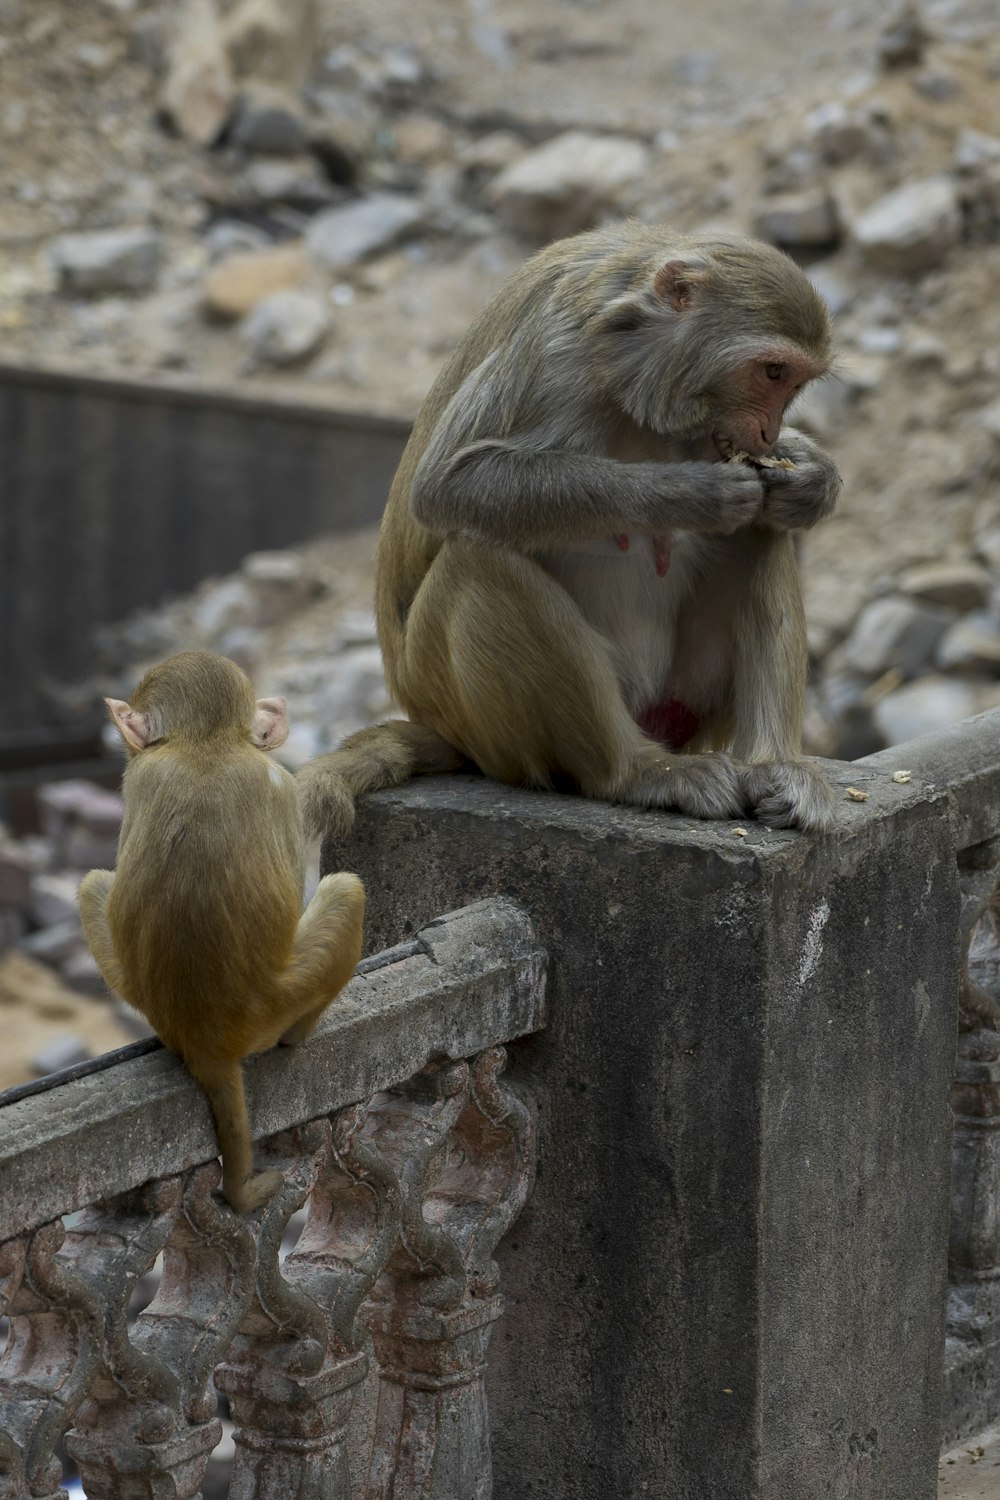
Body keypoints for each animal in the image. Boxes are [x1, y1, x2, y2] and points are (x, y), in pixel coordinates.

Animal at [79, 651, 364, 1212]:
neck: (204, 745)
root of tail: (206, 1040)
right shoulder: (280, 781)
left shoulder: (140, 777)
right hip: (280, 1006)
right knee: (347, 891)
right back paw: (300, 1036)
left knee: (93, 884)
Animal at [301, 219, 839, 834]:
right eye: (772, 371)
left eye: (793, 383)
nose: (770, 433)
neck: (630, 368)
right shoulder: (554, 351)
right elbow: (449, 484)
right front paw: (688, 493)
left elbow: (767, 506)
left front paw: (811, 481)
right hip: (481, 724)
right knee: (478, 559)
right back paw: (639, 772)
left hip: (682, 700)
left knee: (758, 531)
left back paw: (774, 768)